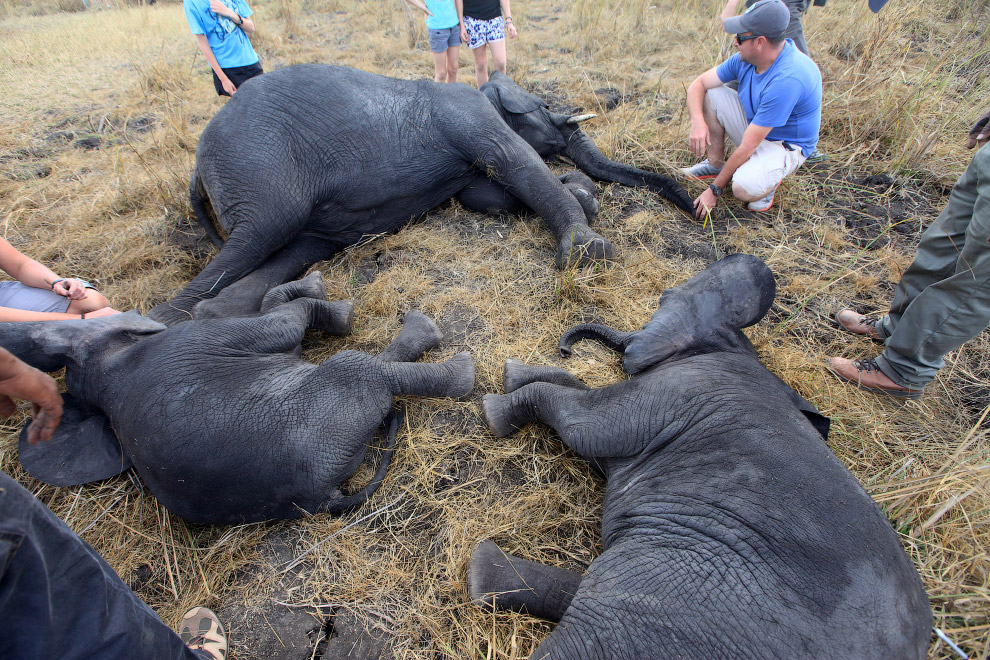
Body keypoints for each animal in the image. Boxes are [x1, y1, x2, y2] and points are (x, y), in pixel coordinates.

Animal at [1, 270, 476, 524]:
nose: (76, 291)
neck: (101, 367)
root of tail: (319, 496)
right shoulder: (204, 337)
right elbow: (284, 321)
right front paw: (335, 306)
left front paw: (316, 287)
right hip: (335, 397)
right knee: (365, 368)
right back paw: (452, 360)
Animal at [151, 63, 692, 326]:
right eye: (544, 107)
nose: (692, 206)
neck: (484, 86)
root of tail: (196, 167)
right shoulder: (468, 112)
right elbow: (516, 162)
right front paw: (587, 249)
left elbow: (491, 195)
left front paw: (582, 193)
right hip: (257, 171)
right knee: (260, 232)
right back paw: (153, 330)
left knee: (283, 255)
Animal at [472, 254, 936, 660]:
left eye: (664, 296)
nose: (565, 348)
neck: (736, 345)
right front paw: (517, 373)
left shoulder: (682, 392)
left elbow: (584, 422)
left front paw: (496, 407)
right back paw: (484, 573)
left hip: (673, 603)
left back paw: (482, 573)